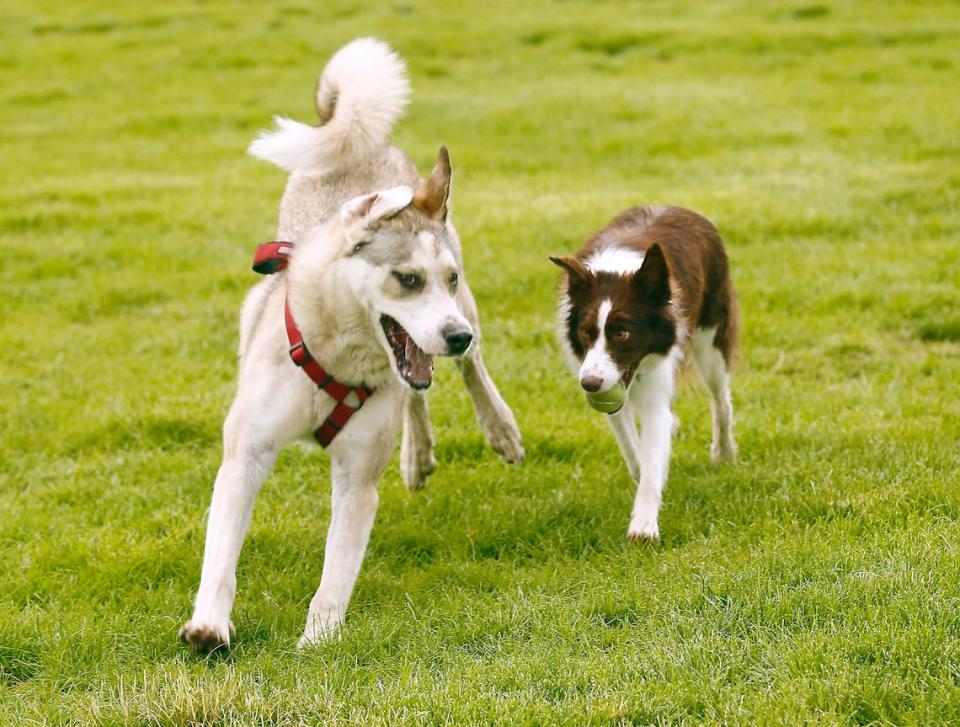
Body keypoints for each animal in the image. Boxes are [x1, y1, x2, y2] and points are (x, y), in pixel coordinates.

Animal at [180, 37, 524, 652]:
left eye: (447, 277)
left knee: (469, 376)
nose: (456, 336)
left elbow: (338, 567)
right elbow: (221, 554)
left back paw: (496, 426)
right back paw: (419, 451)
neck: (336, 359)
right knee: (419, 392)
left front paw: (318, 641)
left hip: (469, 314)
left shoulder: (358, 474)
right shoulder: (246, 453)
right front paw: (209, 626)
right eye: (407, 279)